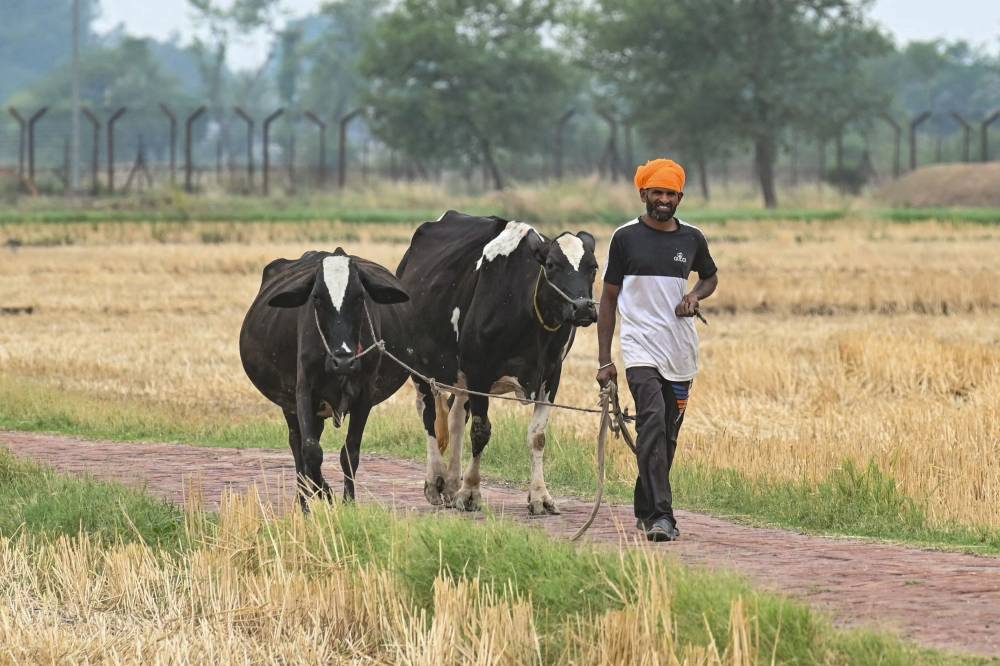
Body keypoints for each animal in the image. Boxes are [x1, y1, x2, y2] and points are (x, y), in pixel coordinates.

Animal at [239, 248, 411, 509]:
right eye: (317, 298)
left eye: (359, 297)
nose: (344, 361)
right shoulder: (303, 391)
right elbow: (311, 451)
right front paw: (326, 492)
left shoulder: (365, 395)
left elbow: (350, 451)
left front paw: (348, 503)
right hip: (289, 403)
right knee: (297, 444)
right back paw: (304, 504)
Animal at [393, 211, 598, 515]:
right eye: (551, 265)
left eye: (593, 267)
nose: (583, 307)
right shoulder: (480, 370)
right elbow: (481, 431)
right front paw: (470, 492)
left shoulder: (552, 373)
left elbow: (538, 436)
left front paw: (540, 497)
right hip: (419, 365)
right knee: (429, 415)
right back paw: (436, 482)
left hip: (460, 378)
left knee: (455, 418)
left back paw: (451, 484)